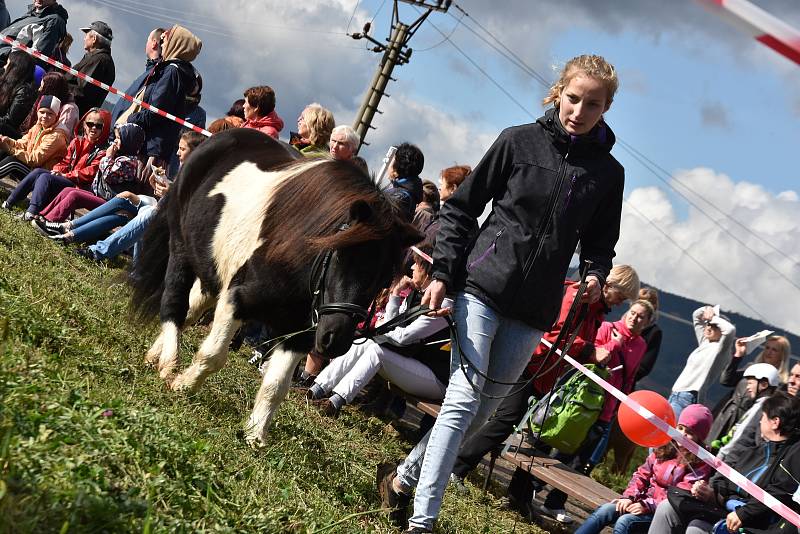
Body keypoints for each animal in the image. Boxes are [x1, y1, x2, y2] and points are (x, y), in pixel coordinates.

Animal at [128, 130, 422, 448]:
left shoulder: (300, 334)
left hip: (211, 267)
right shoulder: (237, 300)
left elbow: (276, 385)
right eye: (341, 255)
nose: (336, 339)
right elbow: (214, 354)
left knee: (191, 308)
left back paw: (155, 356)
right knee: (174, 304)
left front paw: (255, 435)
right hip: (181, 247)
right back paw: (168, 363)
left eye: (385, 277)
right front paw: (184, 384)